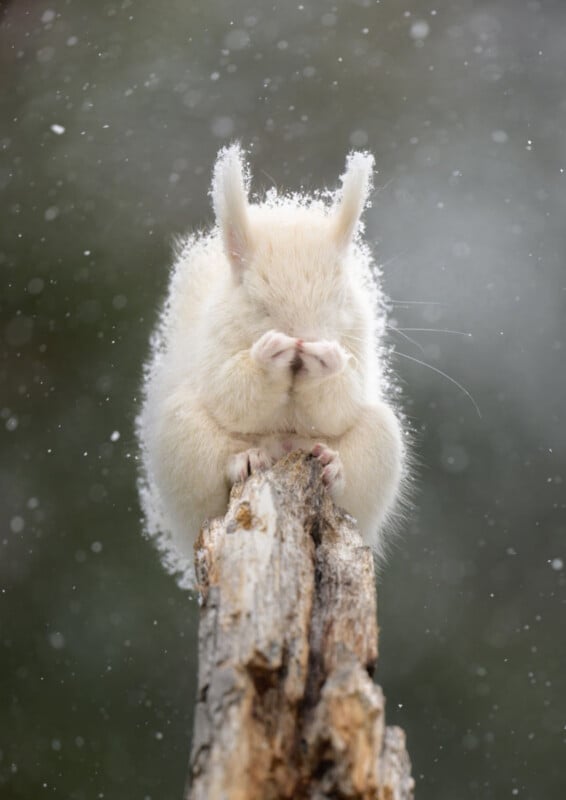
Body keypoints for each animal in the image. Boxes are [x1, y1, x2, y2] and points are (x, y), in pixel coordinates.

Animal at [137, 145, 405, 588]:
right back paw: (243, 461)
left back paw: (333, 467)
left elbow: (339, 404)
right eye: (258, 305)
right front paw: (267, 356)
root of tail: (282, 450)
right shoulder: (211, 344)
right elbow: (230, 394)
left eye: (337, 299)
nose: (302, 339)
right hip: (182, 440)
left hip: (382, 445)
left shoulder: (359, 341)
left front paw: (327, 363)